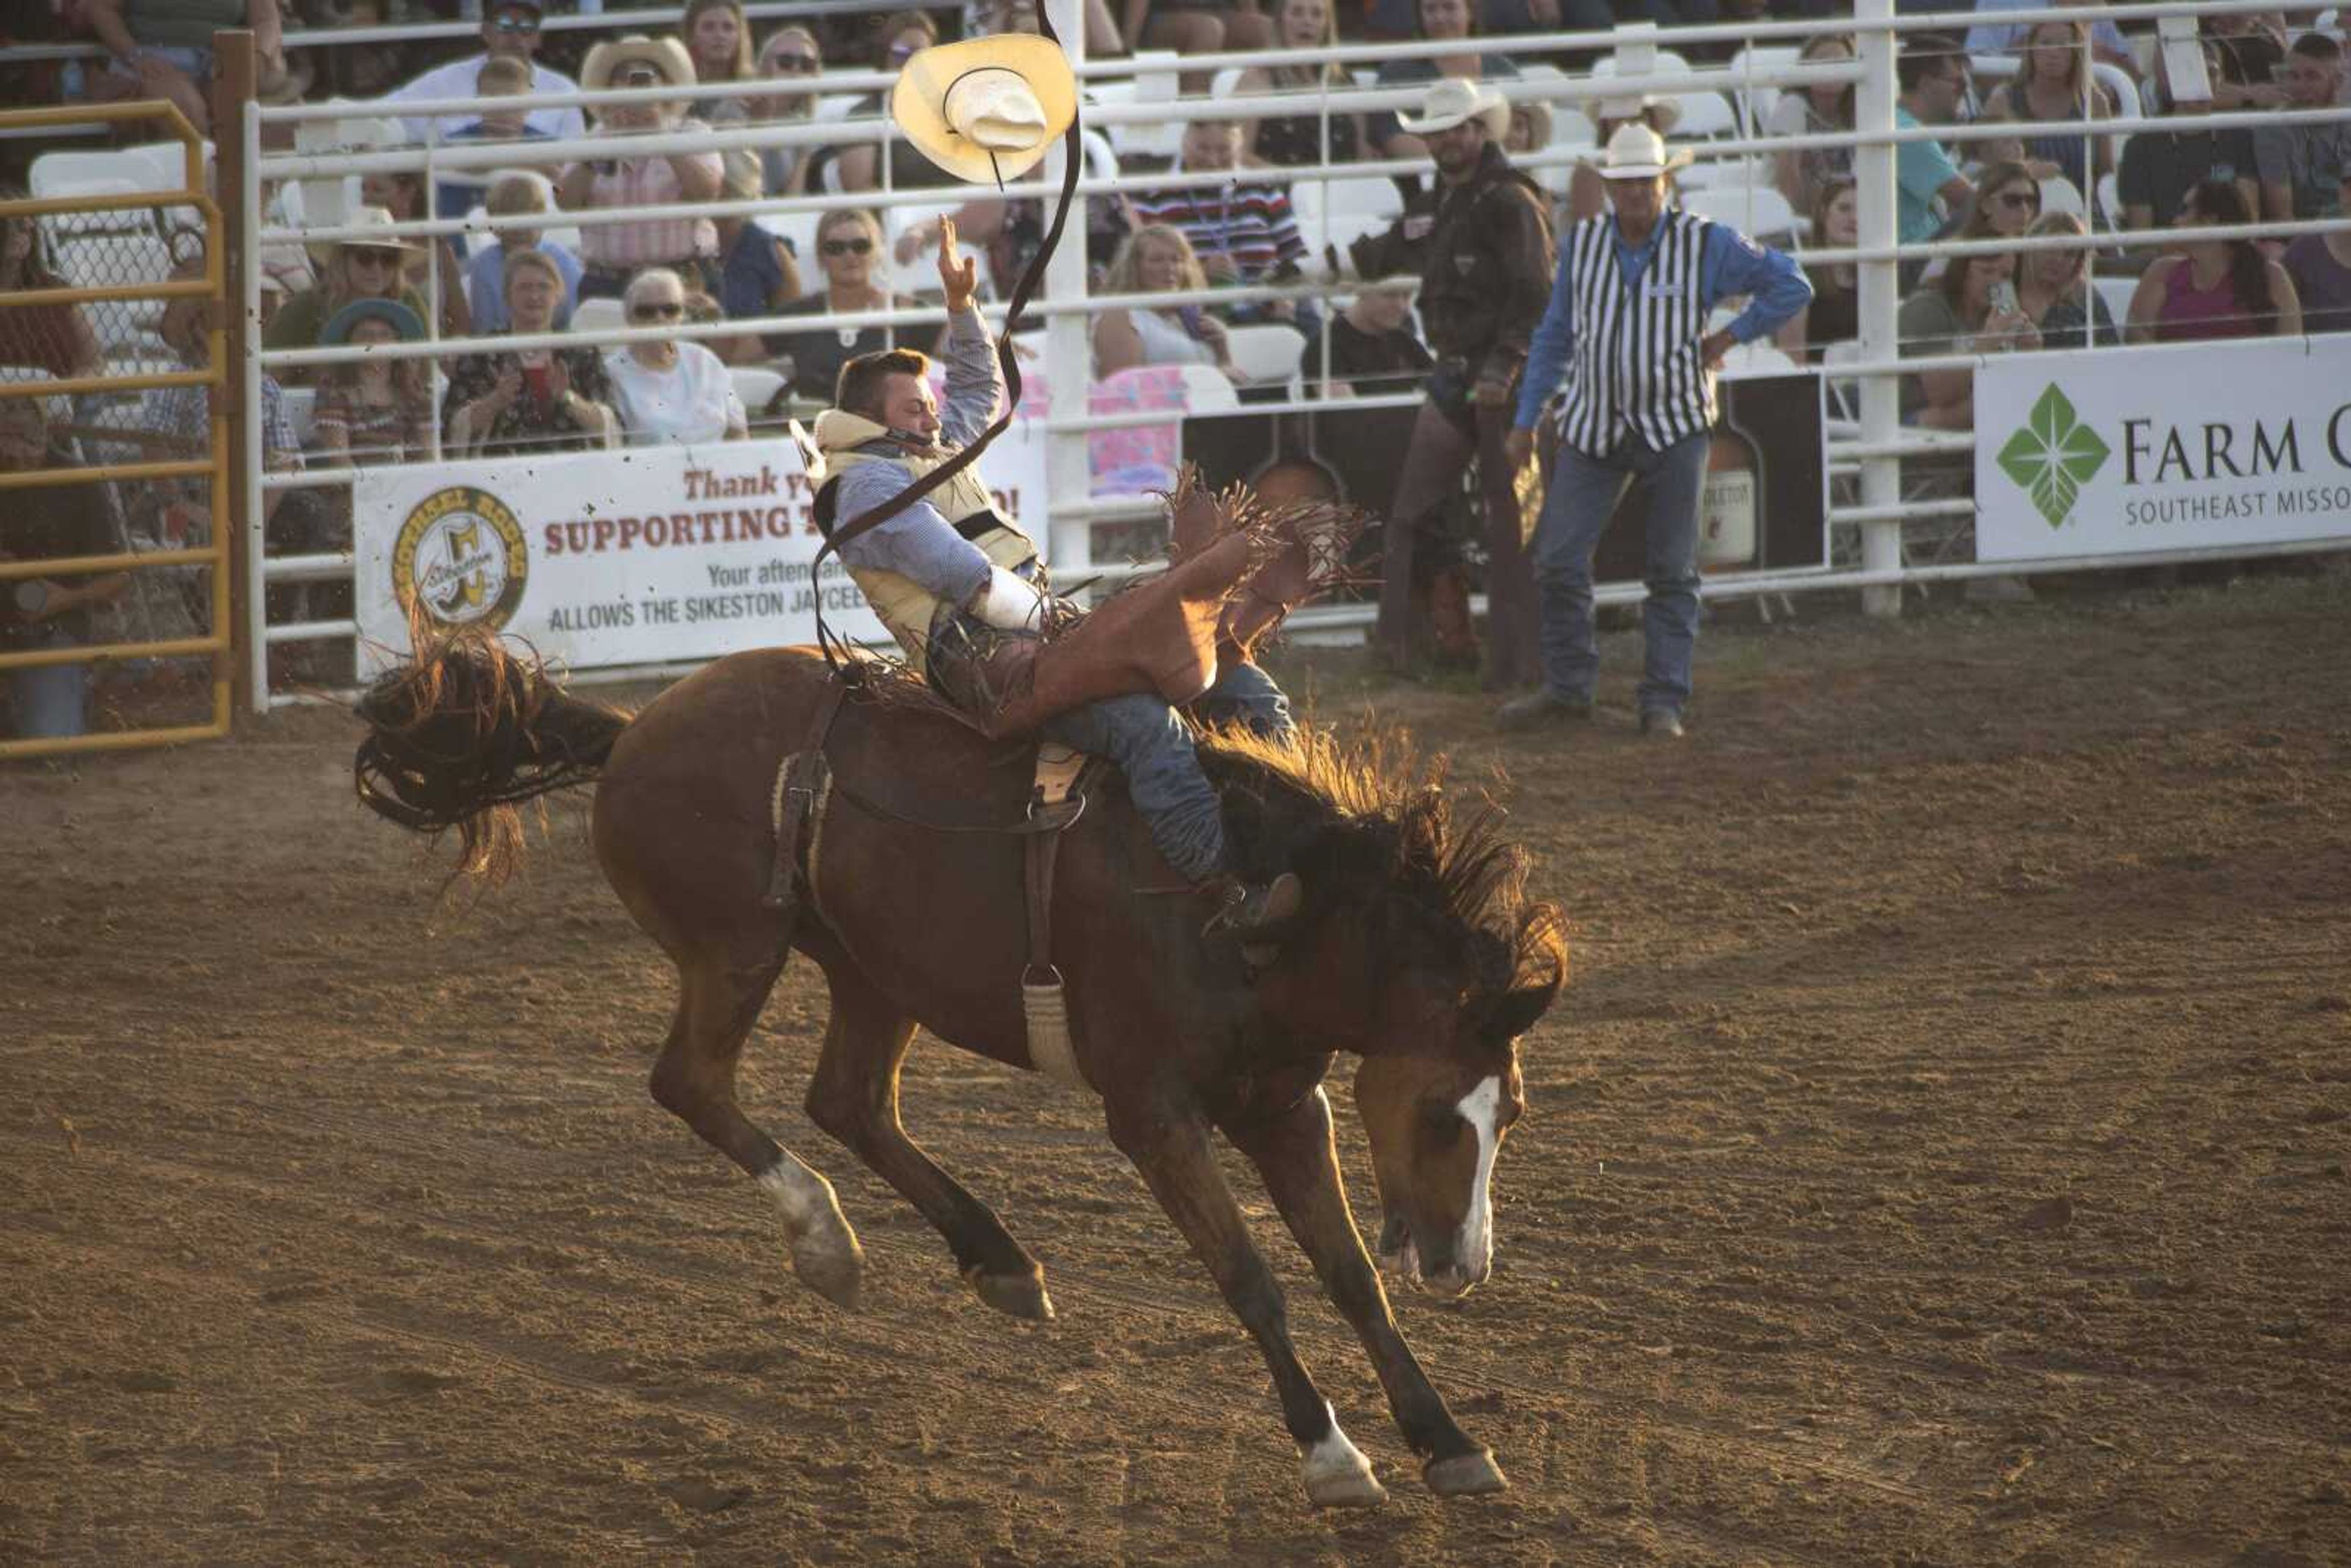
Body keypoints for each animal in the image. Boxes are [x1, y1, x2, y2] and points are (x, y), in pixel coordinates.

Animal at [353, 634, 1561, 1504]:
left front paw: (1449, 1442)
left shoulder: (1285, 1106)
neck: (1254, 901)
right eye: (1445, 1115)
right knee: (692, 1083)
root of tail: (641, 723)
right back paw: (826, 1241)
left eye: (1511, 1114)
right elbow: (1250, 1278)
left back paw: (999, 1260)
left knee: (846, 1100)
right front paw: (1332, 1454)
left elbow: (1350, 1276)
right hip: (735, 948)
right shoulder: (1153, 1114)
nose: (1463, 1267)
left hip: (874, 972)